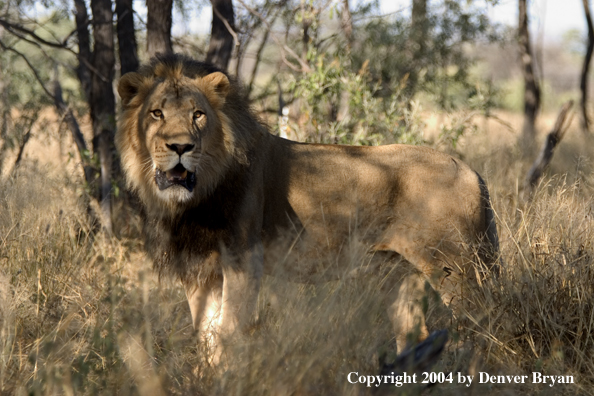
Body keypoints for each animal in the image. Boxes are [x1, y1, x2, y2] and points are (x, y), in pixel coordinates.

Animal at [114, 53, 494, 362]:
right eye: (156, 114)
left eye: (198, 115)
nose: (180, 147)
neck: (198, 196)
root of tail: (472, 172)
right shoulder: (199, 271)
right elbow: (205, 336)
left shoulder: (243, 262)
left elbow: (226, 334)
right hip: (397, 274)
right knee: (416, 336)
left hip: (457, 270)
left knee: (487, 326)